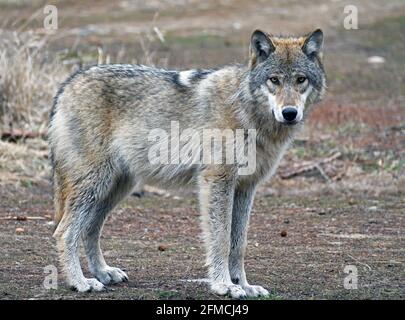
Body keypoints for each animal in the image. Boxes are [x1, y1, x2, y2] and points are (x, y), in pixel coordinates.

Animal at [48, 28, 326, 298]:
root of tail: (67, 84)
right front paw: (224, 285)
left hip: (114, 190)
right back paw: (80, 282)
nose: (289, 113)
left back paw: (103, 273)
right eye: (274, 80)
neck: (246, 111)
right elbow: (221, 240)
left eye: (301, 80)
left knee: (89, 229)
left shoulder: (246, 187)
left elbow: (239, 244)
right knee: (64, 232)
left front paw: (244, 285)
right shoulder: (217, 181)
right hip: (96, 186)